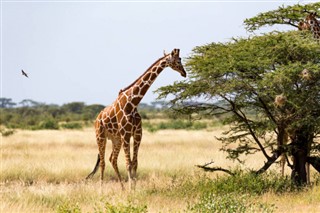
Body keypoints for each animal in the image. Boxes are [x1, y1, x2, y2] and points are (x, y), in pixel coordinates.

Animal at [86, 48, 186, 190]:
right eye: (177, 61)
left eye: (180, 59)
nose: (184, 73)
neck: (132, 103)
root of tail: (97, 119)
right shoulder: (126, 134)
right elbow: (128, 163)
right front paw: (130, 190)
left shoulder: (138, 134)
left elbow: (135, 163)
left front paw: (133, 189)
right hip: (100, 136)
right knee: (103, 162)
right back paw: (101, 189)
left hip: (116, 139)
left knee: (112, 159)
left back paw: (122, 188)